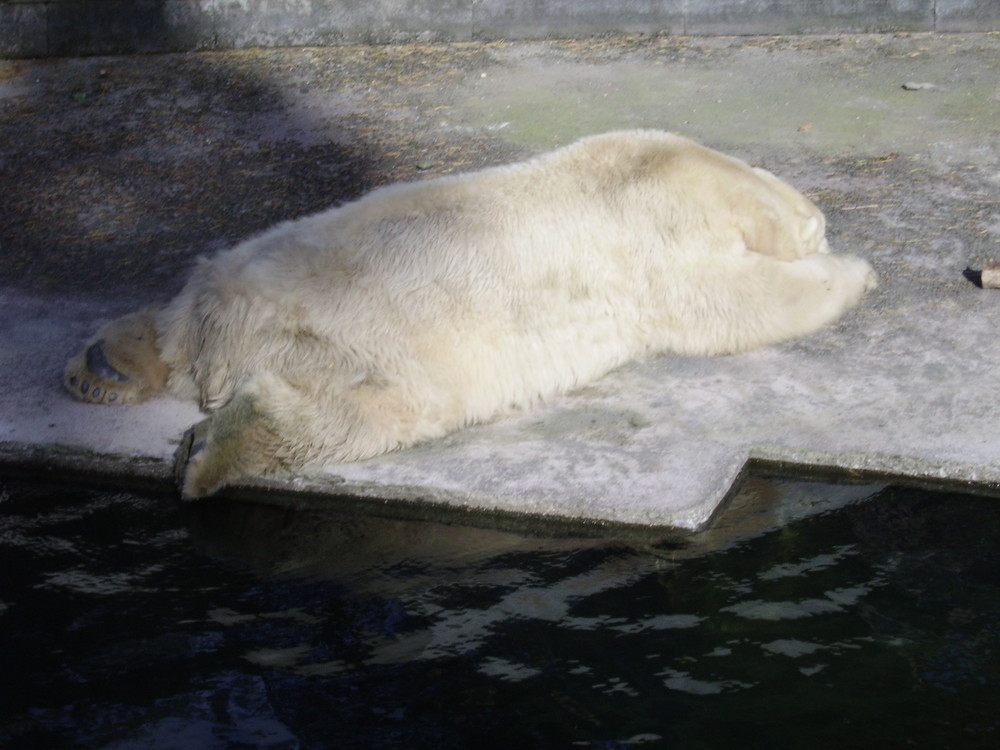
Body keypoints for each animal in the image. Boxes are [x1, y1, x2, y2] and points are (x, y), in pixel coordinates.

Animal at [62, 131, 876, 500]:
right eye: (816, 227)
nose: (821, 225)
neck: (674, 169)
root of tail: (232, 320)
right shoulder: (658, 244)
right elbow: (734, 304)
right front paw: (853, 272)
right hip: (373, 343)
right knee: (352, 414)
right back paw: (211, 454)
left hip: (233, 279)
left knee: (172, 328)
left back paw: (101, 365)